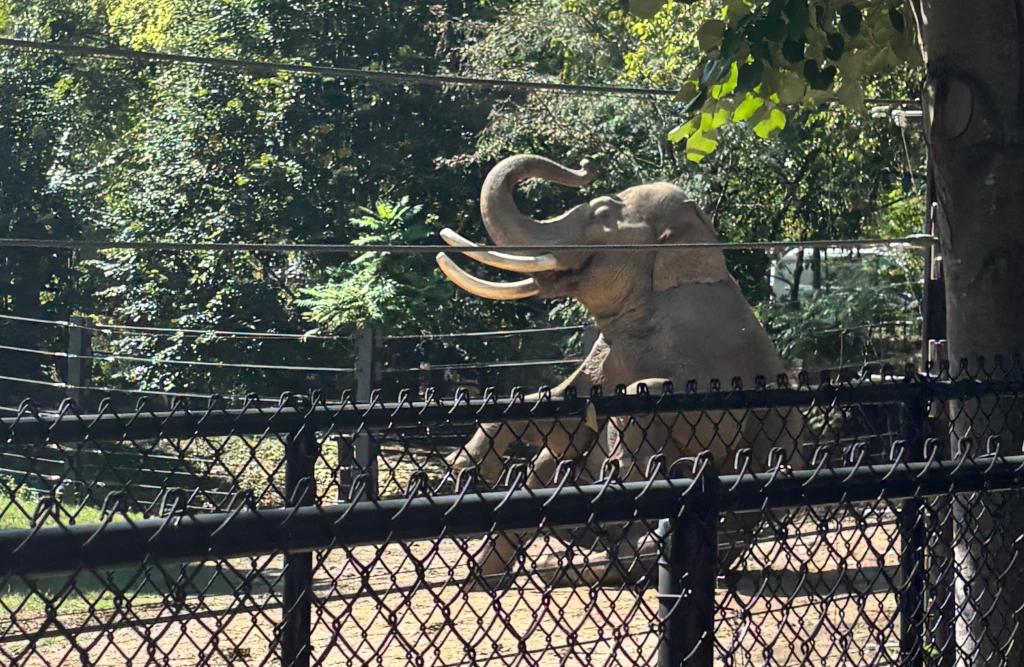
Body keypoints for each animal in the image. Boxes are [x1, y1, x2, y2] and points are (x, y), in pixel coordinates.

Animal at [432, 153, 798, 586]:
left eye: (603, 213)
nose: (584, 165)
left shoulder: (712, 346)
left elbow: (698, 415)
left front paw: (623, 470)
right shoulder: (608, 353)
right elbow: (563, 411)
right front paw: (462, 467)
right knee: (548, 467)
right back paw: (499, 573)